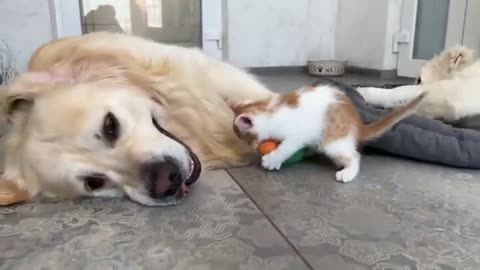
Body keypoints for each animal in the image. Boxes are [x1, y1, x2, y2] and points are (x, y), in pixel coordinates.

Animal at [227, 81, 426, 184]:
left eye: (245, 139)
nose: (251, 147)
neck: (269, 110)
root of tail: (358, 125)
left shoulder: (298, 133)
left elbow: (287, 146)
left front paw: (272, 160)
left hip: (333, 142)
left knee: (354, 156)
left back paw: (347, 173)